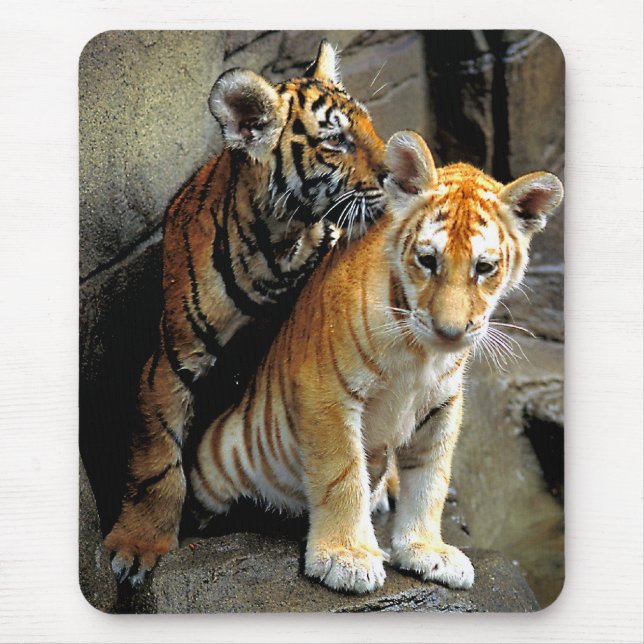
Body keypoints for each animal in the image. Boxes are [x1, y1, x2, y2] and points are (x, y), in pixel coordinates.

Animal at [105, 40, 387, 585]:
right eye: (336, 140)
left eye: (370, 125)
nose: (400, 171)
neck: (279, 244)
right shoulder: (169, 363)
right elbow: (158, 462)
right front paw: (137, 546)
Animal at [191, 130, 563, 594]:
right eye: (428, 261)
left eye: (484, 267)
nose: (451, 331)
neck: (423, 354)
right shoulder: (326, 394)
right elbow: (343, 476)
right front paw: (347, 557)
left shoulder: (442, 406)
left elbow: (430, 481)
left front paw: (426, 550)